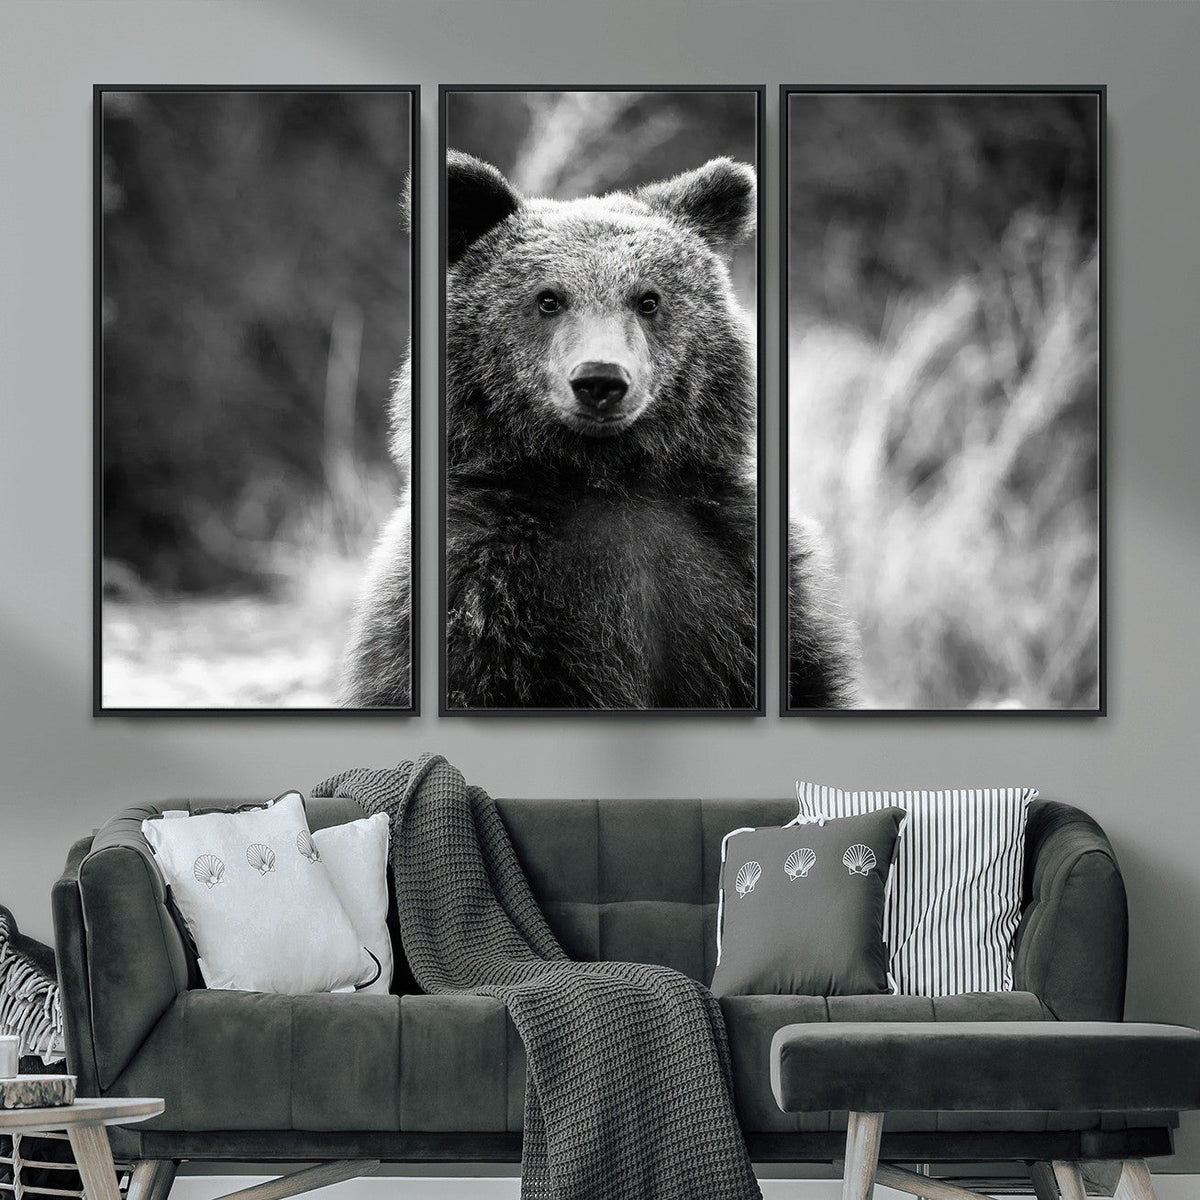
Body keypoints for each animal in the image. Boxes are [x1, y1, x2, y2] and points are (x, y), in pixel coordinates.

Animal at [340, 151, 858, 710]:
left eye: (648, 299)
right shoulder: (482, 587)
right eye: (548, 298)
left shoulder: (733, 570)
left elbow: (804, 676)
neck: (605, 477)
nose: (600, 380)